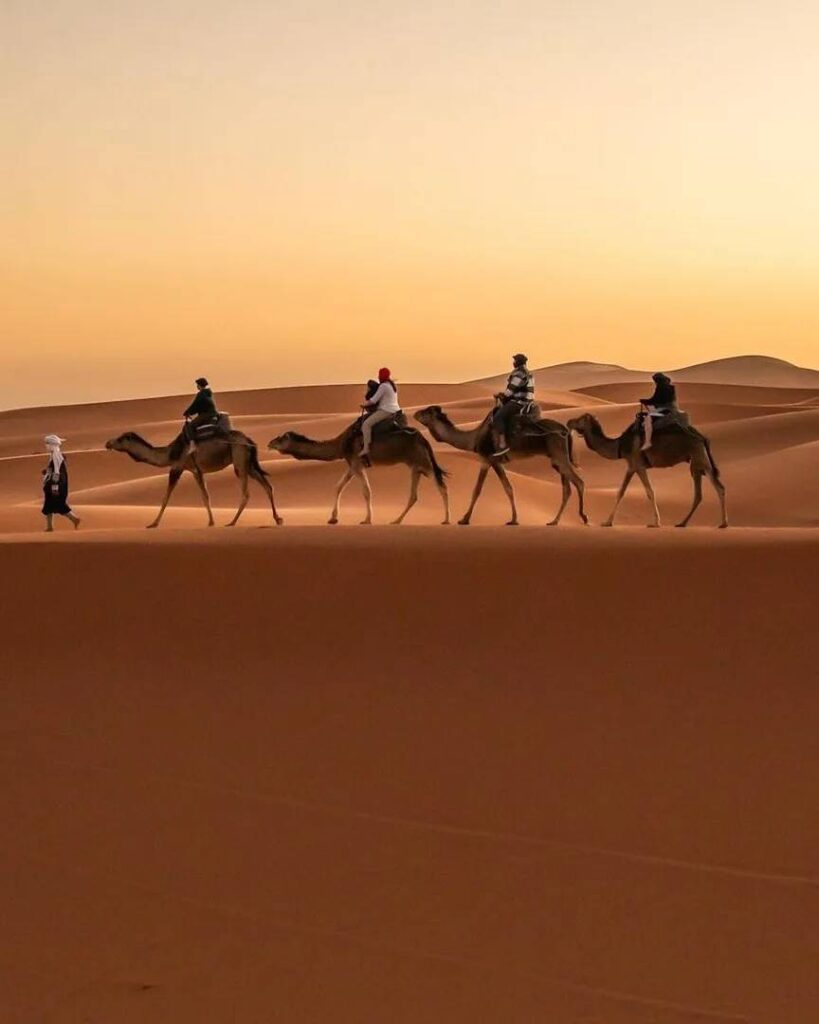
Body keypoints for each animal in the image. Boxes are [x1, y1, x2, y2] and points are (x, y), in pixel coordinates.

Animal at [103, 430, 282, 528]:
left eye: (120, 438)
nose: (107, 443)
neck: (168, 454)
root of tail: (249, 440)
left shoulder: (177, 467)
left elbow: (165, 497)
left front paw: (153, 523)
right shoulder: (196, 471)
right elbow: (205, 496)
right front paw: (211, 522)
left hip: (239, 460)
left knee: (246, 493)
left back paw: (232, 522)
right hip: (248, 463)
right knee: (267, 486)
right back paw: (278, 519)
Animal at [266, 417, 448, 524]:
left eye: (280, 439)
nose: (269, 443)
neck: (340, 444)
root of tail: (423, 439)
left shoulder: (356, 462)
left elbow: (366, 491)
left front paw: (367, 519)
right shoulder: (352, 464)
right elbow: (338, 487)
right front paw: (333, 518)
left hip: (423, 461)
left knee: (441, 486)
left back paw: (447, 520)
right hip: (415, 465)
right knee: (414, 495)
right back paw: (396, 520)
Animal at [419, 401, 585, 524]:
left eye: (427, 412)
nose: (415, 414)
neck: (474, 438)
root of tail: (566, 431)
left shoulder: (488, 459)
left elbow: (478, 489)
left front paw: (464, 519)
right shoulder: (495, 462)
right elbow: (508, 488)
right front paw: (513, 519)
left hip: (559, 455)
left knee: (579, 482)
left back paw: (584, 518)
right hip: (557, 459)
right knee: (566, 488)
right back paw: (554, 521)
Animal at [565, 409, 728, 528]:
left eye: (580, 419)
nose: (568, 421)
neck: (619, 445)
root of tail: (702, 437)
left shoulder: (637, 465)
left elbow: (649, 492)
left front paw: (655, 523)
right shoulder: (631, 466)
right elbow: (620, 492)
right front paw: (607, 522)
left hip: (699, 458)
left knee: (715, 488)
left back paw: (722, 523)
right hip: (698, 462)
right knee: (706, 491)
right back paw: (684, 523)